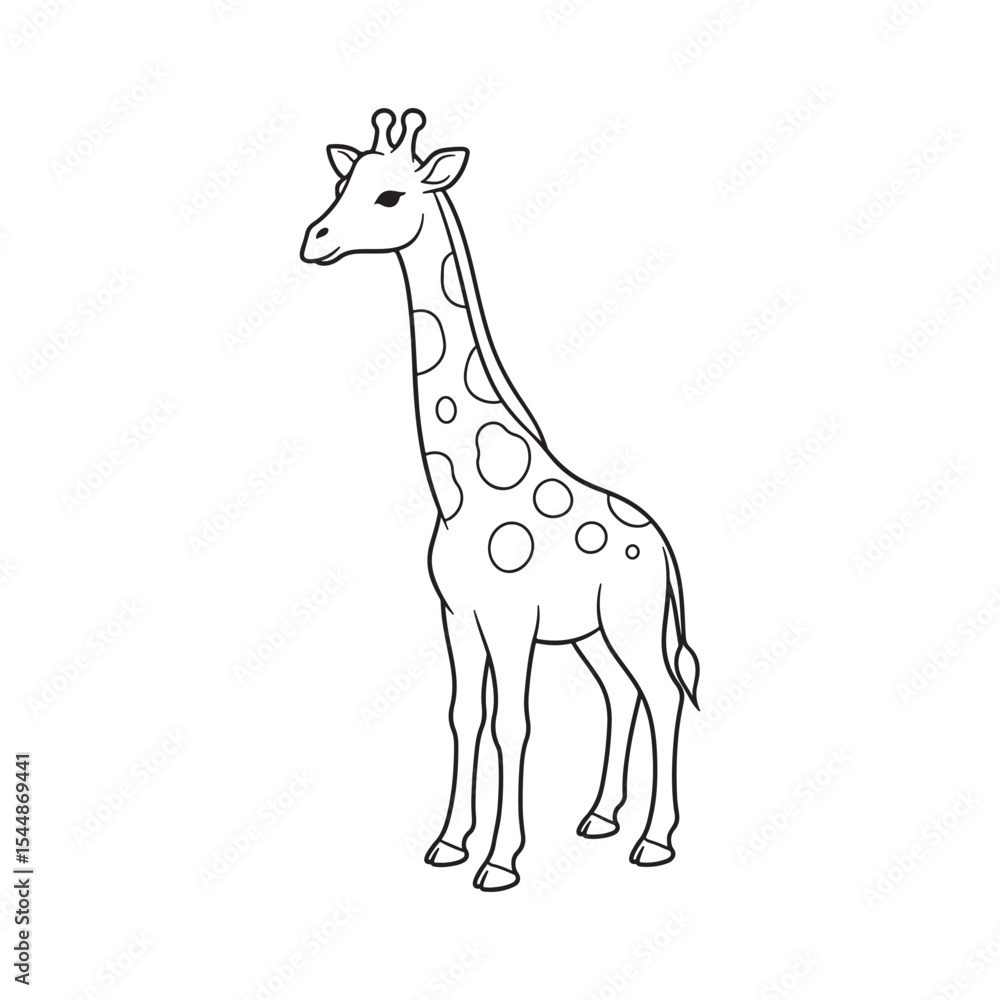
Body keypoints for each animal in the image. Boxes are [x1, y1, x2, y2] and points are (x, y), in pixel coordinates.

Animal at [300, 109, 701, 891]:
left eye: (390, 195)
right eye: (340, 183)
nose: (315, 240)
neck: (466, 489)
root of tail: (663, 547)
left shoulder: (513, 621)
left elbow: (513, 723)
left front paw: (500, 861)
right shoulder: (458, 615)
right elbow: (464, 716)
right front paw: (450, 842)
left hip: (632, 621)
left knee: (664, 696)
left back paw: (654, 841)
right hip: (591, 633)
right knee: (621, 695)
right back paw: (599, 818)